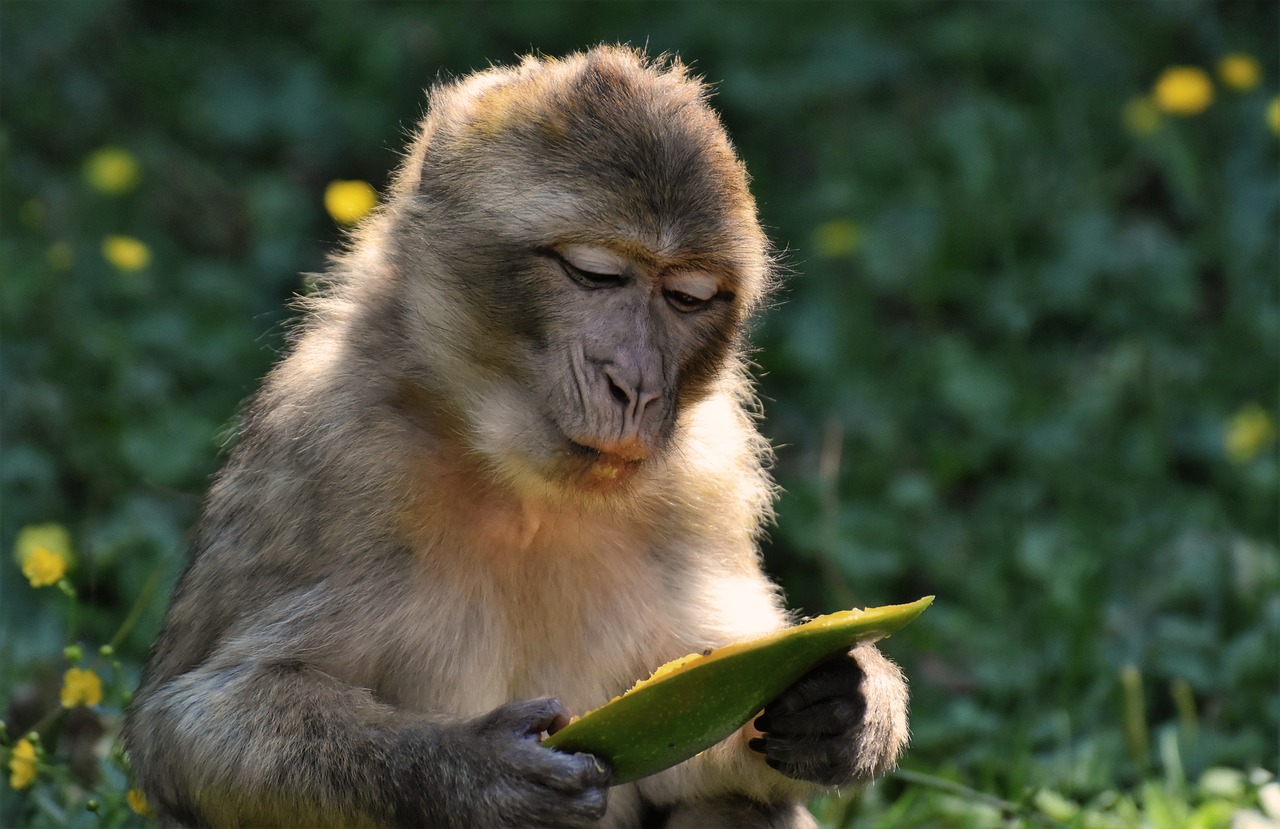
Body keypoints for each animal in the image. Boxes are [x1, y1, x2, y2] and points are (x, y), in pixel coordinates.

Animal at [122, 47, 911, 829]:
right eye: (595, 274)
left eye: (687, 297)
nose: (636, 386)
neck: (520, 481)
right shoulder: (331, 454)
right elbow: (190, 724)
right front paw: (475, 773)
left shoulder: (706, 476)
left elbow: (700, 711)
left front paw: (848, 702)